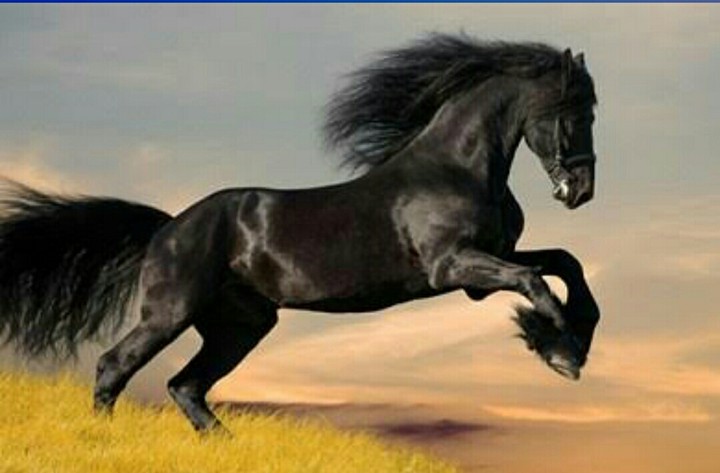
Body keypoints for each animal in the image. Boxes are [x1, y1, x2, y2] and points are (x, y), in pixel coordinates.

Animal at [0, 34, 600, 433]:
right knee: (115, 366)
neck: (455, 168)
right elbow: (535, 281)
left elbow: (565, 264)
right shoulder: (451, 266)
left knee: (185, 386)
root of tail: (168, 226)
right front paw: (561, 352)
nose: (582, 189)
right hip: (170, 312)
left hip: (242, 325)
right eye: (575, 112)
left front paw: (569, 341)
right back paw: (102, 435)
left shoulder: (484, 266)